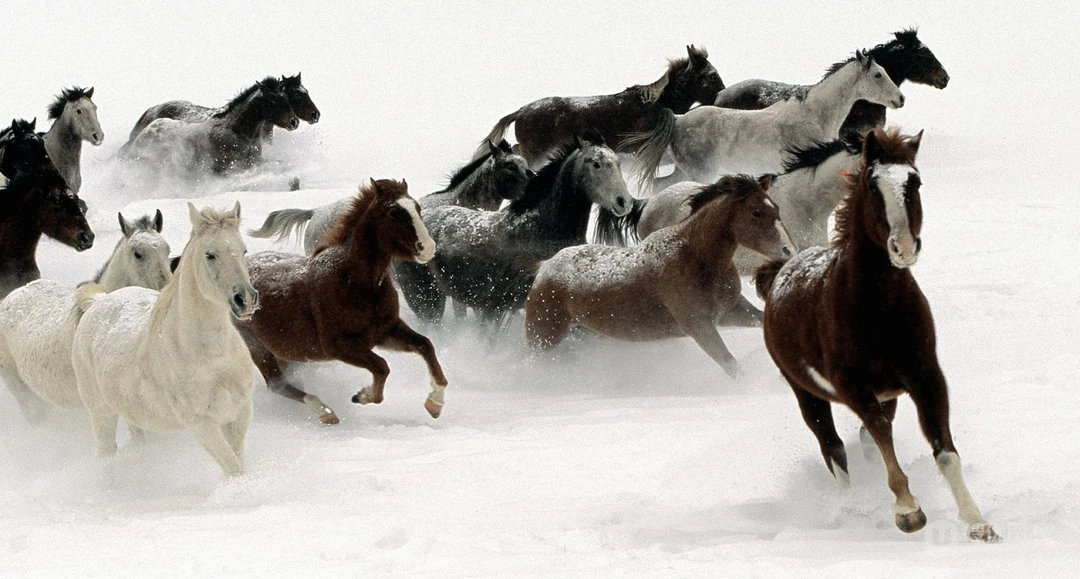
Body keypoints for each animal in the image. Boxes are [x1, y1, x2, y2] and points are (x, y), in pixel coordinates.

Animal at [72, 202, 258, 477]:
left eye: (243, 250)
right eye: (210, 254)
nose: (245, 299)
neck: (213, 357)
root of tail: (97, 301)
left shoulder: (239, 413)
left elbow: (237, 464)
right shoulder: (201, 423)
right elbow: (234, 469)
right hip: (101, 413)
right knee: (106, 452)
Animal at [236, 179, 447, 425]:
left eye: (417, 208)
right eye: (393, 212)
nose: (428, 247)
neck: (354, 282)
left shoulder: (385, 331)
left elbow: (425, 345)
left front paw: (435, 403)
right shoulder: (339, 345)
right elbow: (382, 367)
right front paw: (363, 396)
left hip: (286, 353)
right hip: (257, 347)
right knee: (277, 385)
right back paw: (325, 412)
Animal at [526, 175, 794, 378]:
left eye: (776, 208)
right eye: (756, 212)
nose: (788, 250)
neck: (694, 256)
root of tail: (545, 267)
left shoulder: (731, 311)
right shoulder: (699, 326)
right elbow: (732, 366)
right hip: (543, 338)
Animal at [628, 51, 903, 191]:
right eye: (878, 75)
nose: (900, 99)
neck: (814, 116)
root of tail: (678, 120)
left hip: (685, 171)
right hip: (697, 173)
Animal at [753, 128, 998, 542]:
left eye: (915, 181)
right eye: (872, 186)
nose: (904, 248)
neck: (879, 310)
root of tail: (780, 270)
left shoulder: (926, 377)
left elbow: (943, 448)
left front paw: (977, 522)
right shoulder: (853, 387)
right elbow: (880, 434)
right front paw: (908, 511)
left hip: (887, 393)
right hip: (806, 393)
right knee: (833, 447)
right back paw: (850, 508)